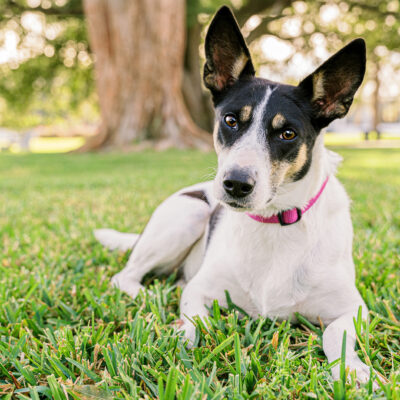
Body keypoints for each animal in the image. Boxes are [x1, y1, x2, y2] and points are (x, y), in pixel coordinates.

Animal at [95, 5, 380, 388]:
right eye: (231, 121)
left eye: (287, 133)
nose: (235, 184)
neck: (274, 222)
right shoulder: (200, 290)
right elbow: (196, 320)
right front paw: (180, 337)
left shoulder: (353, 308)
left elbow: (335, 335)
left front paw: (351, 370)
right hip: (187, 216)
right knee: (125, 276)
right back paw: (152, 294)